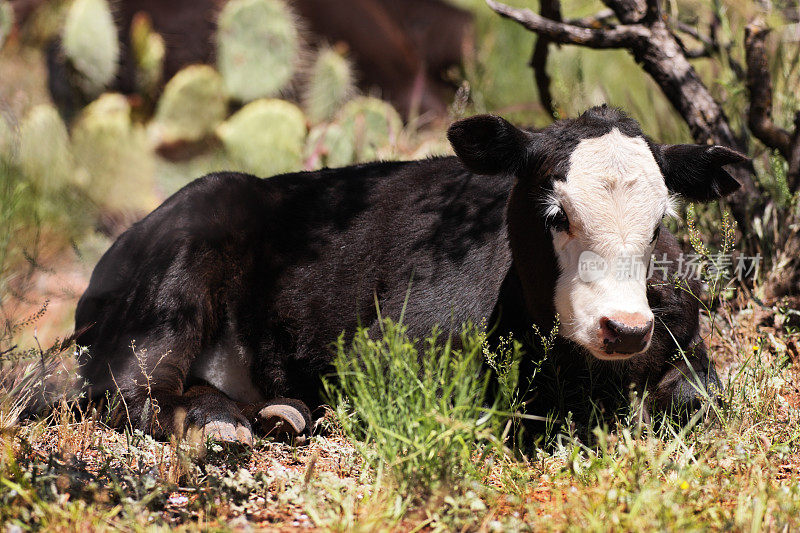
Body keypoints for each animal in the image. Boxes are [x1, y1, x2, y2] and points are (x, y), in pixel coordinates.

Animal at [73, 105, 744, 444]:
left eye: (659, 223)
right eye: (556, 213)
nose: (625, 327)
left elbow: (696, 395)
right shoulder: (383, 352)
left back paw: (270, 413)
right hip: (171, 288)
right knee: (130, 392)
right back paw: (221, 422)